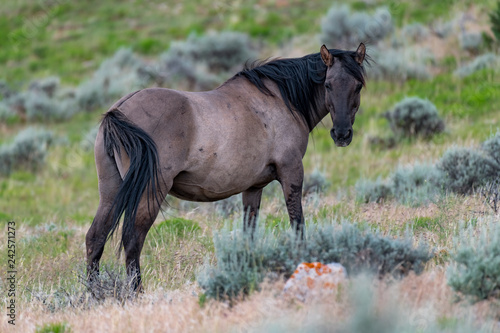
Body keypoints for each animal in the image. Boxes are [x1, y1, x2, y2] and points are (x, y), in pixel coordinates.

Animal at [86, 43, 368, 288]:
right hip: (149, 192)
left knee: (95, 238)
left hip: (110, 191)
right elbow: (297, 223)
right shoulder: (291, 173)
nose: (342, 134)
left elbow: (249, 233)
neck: (281, 100)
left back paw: (92, 293)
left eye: (358, 86)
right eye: (328, 84)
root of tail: (118, 111)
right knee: (133, 240)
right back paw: (137, 293)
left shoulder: (253, 188)